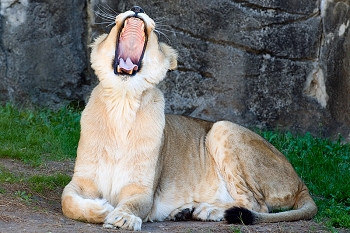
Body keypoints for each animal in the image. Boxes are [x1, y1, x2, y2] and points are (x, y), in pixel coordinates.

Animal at [62, 5, 318, 231]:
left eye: (155, 34)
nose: (137, 7)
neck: (122, 103)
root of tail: (300, 181)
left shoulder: (142, 189)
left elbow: (134, 204)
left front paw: (122, 217)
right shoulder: (82, 181)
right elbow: (68, 201)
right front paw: (103, 208)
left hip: (223, 128)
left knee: (257, 205)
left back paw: (208, 210)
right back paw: (185, 211)